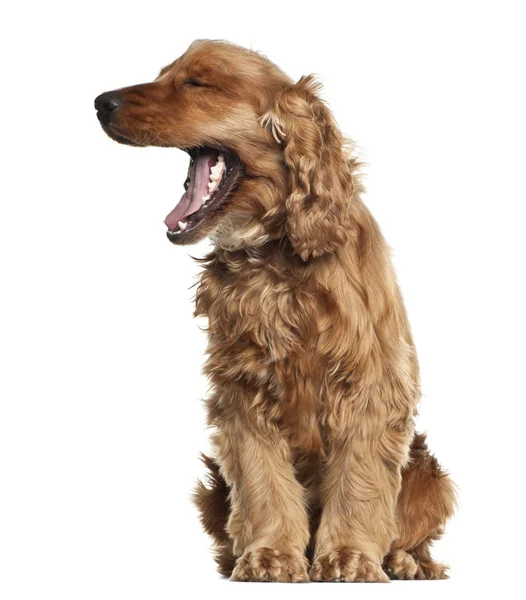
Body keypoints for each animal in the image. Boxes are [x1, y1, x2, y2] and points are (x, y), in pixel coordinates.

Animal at [96, 37, 458, 580]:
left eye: (197, 83)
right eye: (162, 74)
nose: (101, 102)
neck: (275, 259)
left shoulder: (368, 387)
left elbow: (360, 480)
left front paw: (349, 557)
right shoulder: (243, 392)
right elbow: (262, 481)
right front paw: (269, 555)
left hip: (428, 473)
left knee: (412, 530)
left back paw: (404, 561)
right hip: (212, 487)